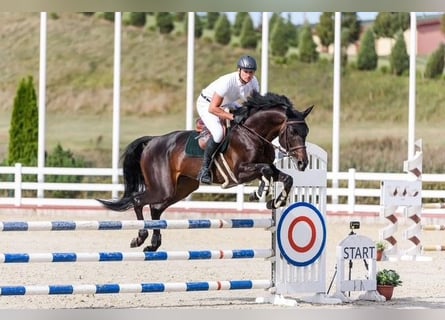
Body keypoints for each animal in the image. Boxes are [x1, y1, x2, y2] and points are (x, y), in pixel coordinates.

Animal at [97, 92, 312, 252]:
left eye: (306, 132)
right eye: (293, 132)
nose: (303, 163)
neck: (252, 134)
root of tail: (152, 141)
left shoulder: (263, 169)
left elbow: (285, 177)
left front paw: (275, 200)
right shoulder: (239, 172)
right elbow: (265, 170)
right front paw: (260, 192)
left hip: (182, 188)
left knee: (156, 208)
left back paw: (153, 244)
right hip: (162, 187)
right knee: (138, 201)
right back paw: (140, 238)